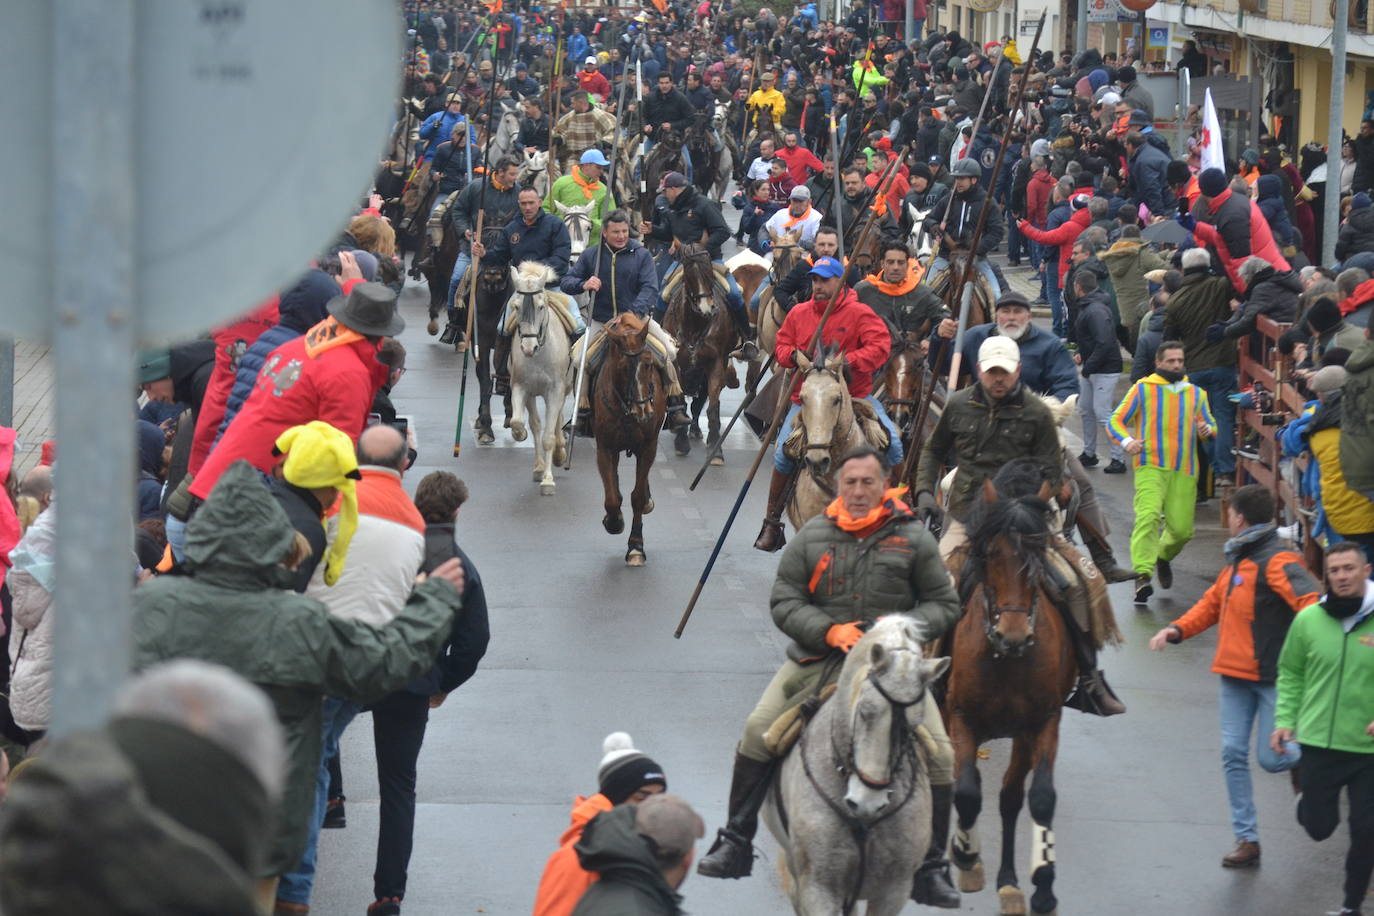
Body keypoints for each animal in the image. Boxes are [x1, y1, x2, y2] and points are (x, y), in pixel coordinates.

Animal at [511, 260, 574, 497]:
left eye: (540, 306)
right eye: (516, 306)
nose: (528, 348)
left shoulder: (554, 391)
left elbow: (548, 436)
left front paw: (548, 481)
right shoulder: (521, 388)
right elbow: (523, 422)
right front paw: (519, 434)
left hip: (564, 388)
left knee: (556, 421)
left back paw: (560, 453)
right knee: (537, 424)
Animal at [590, 315, 665, 565]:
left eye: (649, 364)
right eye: (623, 367)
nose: (643, 411)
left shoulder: (648, 447)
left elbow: (638, 496)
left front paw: (636, 547)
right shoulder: (604, 447)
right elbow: (612, 498)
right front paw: (614, 521)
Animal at [656, 243, 736, 458]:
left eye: (709, 272)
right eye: (689, 274)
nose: (707, 308)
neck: (696, 324)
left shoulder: (716, 362)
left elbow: (712, 405)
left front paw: (715, 448)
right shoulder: (678, 365)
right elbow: (682, 400)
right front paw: (681, 442)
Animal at [950, 480, 1077, 916]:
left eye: (1037, 556)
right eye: (991, 555)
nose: (1015, 635)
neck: (1003, 658)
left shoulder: (1041, 724)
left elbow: (1038, 798)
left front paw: (1043, 885)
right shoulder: (960, 719)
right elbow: (965, 791)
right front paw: (966, 858)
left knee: (1008, 798)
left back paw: (1008, 882)